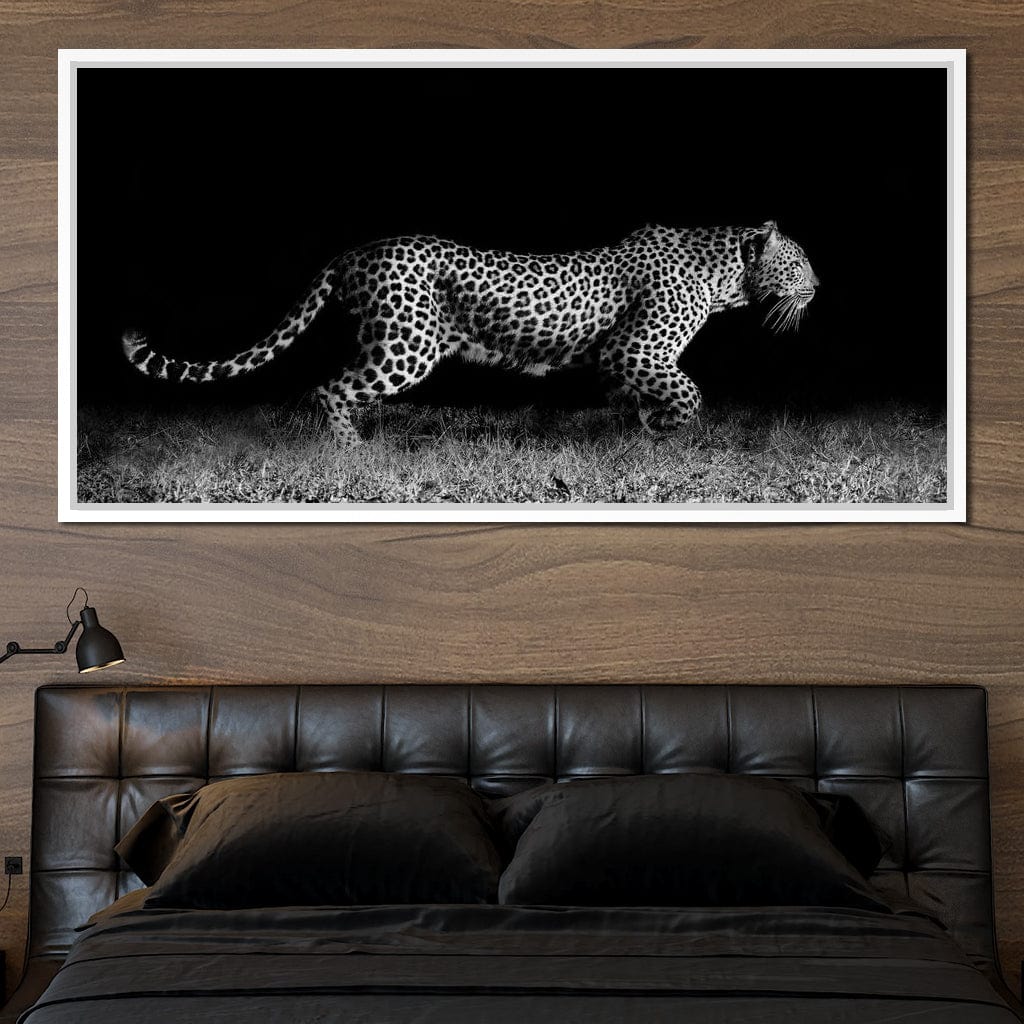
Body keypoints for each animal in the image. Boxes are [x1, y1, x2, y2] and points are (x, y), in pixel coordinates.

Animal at [122, 221, 818, 447]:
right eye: (801, 261)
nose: (821, 285)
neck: (726, 277)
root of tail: (353, 252)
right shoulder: (633, 350)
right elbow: (689, 393)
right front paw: (669, 430)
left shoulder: (624, 362)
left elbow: (644, 398)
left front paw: (645, 434)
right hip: (407, 344)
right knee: (328, 389)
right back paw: (352, 452)